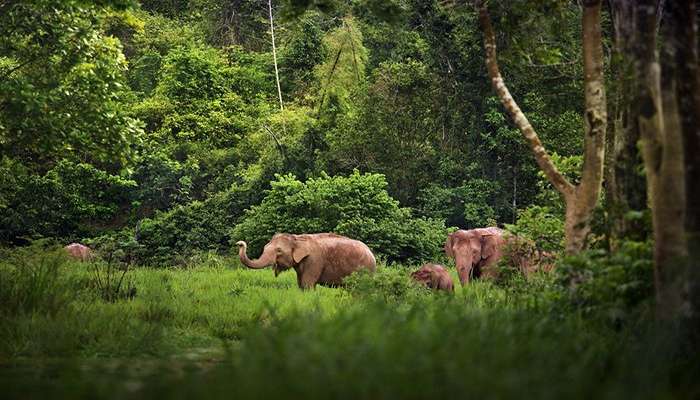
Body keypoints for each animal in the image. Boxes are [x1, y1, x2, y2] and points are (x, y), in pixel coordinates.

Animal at [235, 233, 378, 290]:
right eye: (265, 247)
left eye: (279, 250)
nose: (239, 243)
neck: (297, 238)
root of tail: (372, 254)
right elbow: (300, 284)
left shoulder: (314, 260)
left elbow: (307, 284)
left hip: (365, 269)